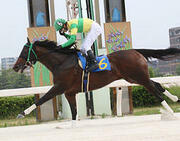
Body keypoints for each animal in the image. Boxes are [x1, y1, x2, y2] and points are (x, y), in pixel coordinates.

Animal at [13, 38, 180, 122]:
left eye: (25, 50)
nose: (15, 66)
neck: (61, 62)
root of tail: (135, 51)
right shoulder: (69, 92)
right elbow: (74, 113)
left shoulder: (60, 87)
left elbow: (43, 99)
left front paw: (22, 113)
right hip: (134, 78)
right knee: (157, 84)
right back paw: (175, 99)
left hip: (139, 77)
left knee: (155, 91)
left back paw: (171, 112)